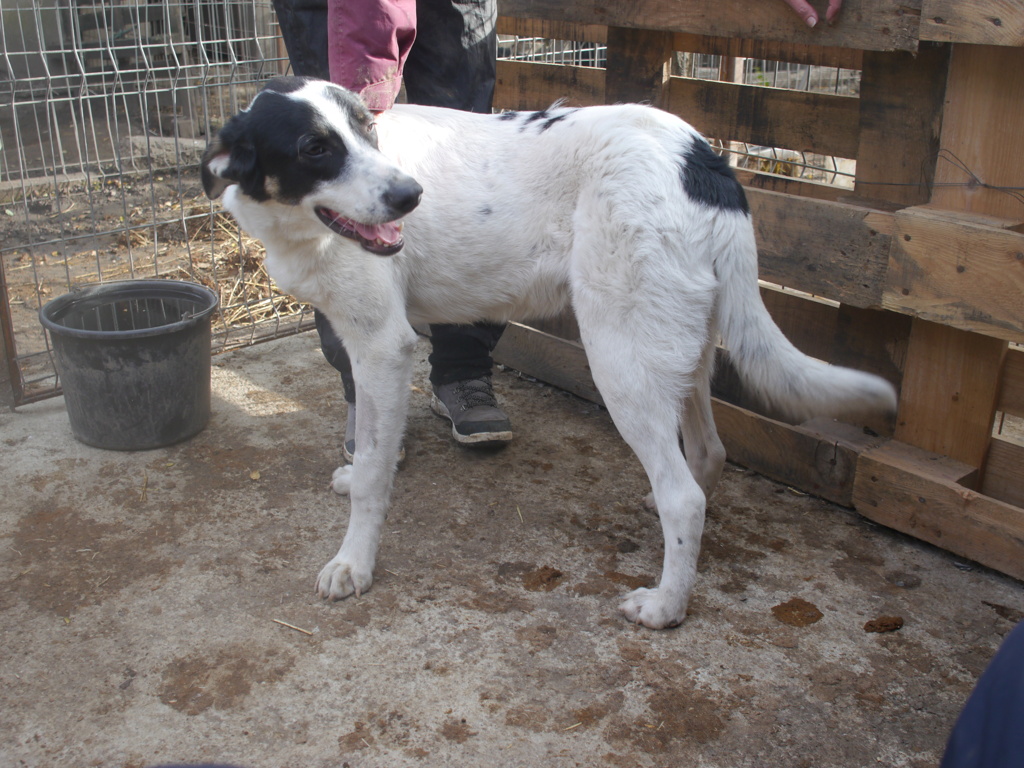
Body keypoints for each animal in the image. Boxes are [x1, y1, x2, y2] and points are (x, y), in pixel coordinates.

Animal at [201, 76, 897, 630]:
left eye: (366, 132)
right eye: (315, 148)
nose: (410, 197)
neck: (301, 223)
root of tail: (702, 157)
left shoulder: (383, 346)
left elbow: (374, 470)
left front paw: (353, 564)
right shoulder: (361, 343)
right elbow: (373, 445)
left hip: (619, 358)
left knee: (685, 498)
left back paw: (665, 607)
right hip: (679, 347)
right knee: (707, 453)